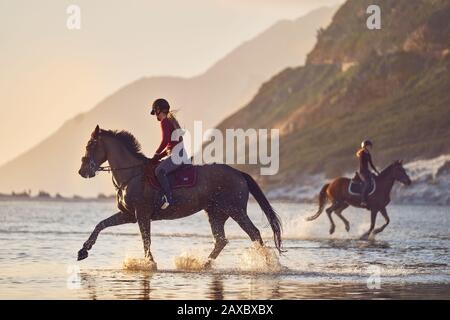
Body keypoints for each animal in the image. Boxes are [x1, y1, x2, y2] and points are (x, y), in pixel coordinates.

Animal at [77, 125, 282, 268]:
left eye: (90, 145)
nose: (82, 171)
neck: (132, 175)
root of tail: (238, 173)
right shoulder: (129, 215)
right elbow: (101, 225)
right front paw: (83, 250)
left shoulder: (142, 214)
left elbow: (146, 239)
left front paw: (150, 263)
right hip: (215, 213)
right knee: (221, 240)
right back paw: (203, 265)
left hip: (235, 210)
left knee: (253, 233)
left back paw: (267, 264)